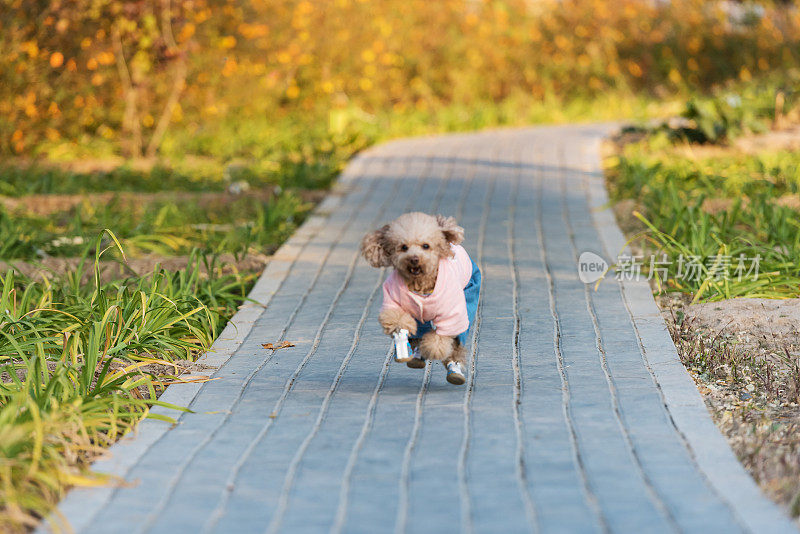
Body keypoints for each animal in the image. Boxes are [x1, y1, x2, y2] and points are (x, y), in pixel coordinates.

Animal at [360, 213, 482, 386]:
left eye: (426, 246)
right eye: (404, 247)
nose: (414, 259)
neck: (420, 284)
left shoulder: (451, 313)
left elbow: (441, 337)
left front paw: (433, 348)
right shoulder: (394, 299)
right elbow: (397, 319)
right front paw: (403, 341)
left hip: (470, 289)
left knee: (457, 340)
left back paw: (454, 369)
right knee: (420, 332)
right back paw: (417, 356)